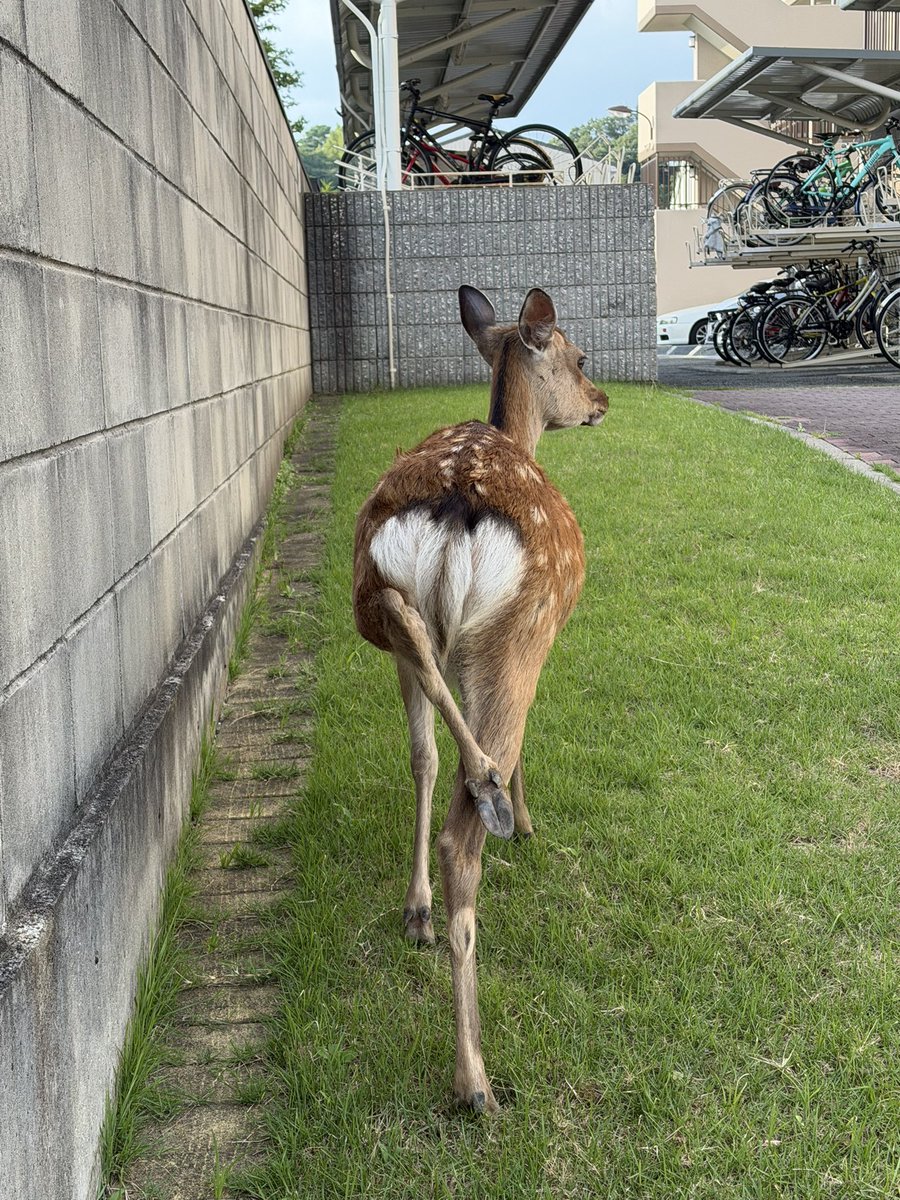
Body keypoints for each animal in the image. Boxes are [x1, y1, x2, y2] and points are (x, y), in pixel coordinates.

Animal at [352, 284, 608, 1113]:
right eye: (579, 357)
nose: (601, 400)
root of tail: (455, 510)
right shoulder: (545, 642)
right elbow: (527, 746)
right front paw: (526, 821)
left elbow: (423, 755)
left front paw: (417, 907)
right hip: (513, 636)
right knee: (464, 833)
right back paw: (474, 1080)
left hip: (385, 603)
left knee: (426, 731)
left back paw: (421, 906)